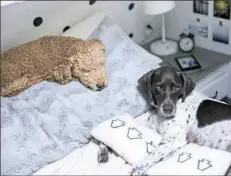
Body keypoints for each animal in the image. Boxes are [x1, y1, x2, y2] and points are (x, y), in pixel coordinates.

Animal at [98, 66, 231, 176]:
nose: (168, 109)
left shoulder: (172, 141)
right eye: (158, 86)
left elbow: (143, 163)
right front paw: (103, 149)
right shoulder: (149, 126)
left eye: (177, 87)